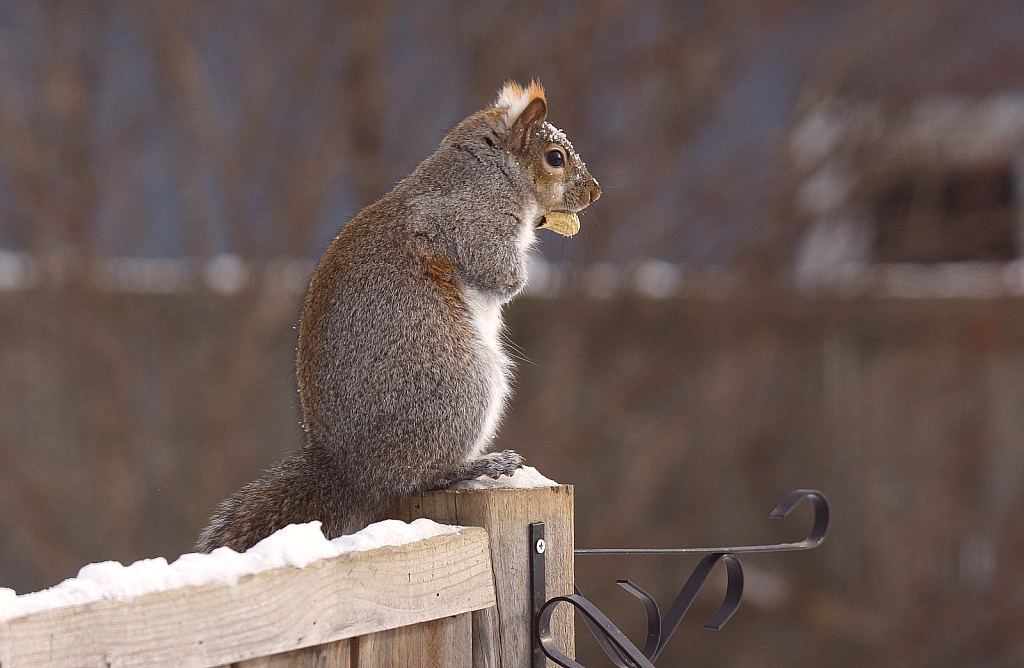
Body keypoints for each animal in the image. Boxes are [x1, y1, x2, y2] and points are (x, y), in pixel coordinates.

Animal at [193, 81, 598, 553]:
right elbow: (501, 275)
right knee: (418, 477)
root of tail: (352, 472)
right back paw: (480, 465)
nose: (595, 192)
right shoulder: (474, 223)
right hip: (461, 384)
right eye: (555, 157)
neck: (490, 171)